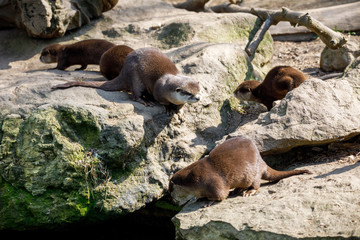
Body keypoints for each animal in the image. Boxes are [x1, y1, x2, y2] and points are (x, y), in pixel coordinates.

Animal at [51, 47, 201, 114]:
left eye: (199, 90)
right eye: (189, 93)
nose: (198, 98)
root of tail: (123, 71)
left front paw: (179, 110)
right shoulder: (159, 91)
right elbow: (162, 101)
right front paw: (170, 108)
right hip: (135, 77)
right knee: (135, 94)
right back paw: (145, 101)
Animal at [169, 137, 312, 206]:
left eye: (171, 192)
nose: (172, 200)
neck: (193, 180)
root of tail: (261, 161)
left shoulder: (211, 182)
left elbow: (221, 195)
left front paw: (209, 201)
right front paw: (200, 198)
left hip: (253, 173)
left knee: (256, 184)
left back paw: (248, 192)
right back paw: (238, 190)